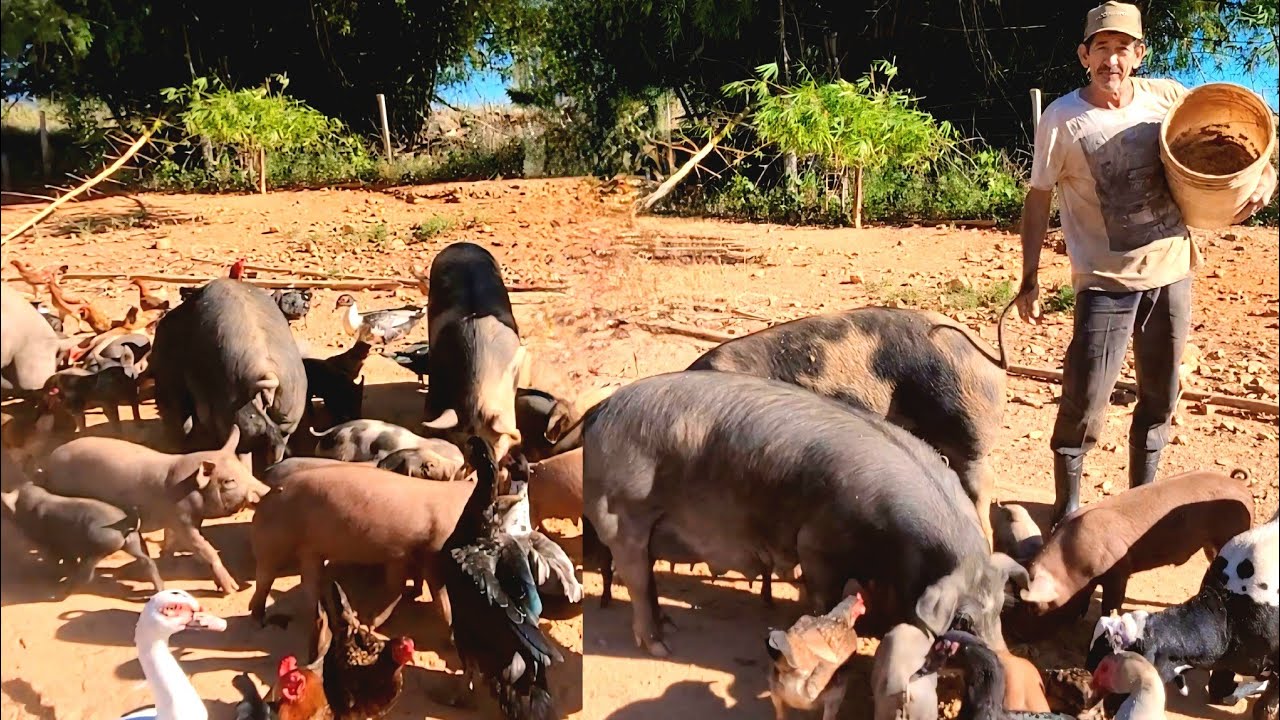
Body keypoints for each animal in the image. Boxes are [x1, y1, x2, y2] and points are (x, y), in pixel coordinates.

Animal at [1, 477, 164, 593]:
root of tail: (124, 522)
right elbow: (69, 562)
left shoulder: (51, 544)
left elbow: (57, 561)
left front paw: (53, 577)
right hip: (133, 542)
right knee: (147, 561)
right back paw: (159, 589)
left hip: (98, 547)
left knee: (87, 573)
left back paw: (67, 589)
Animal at [39, 427, 269, 593]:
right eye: (229, 481)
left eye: (244, 469)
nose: (266, 490)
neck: (189, 486)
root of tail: (50, 460)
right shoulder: (181, 518)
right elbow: (204, 547)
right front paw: (232, 589)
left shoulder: (178, 518)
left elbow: (171, 540)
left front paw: (168, 561)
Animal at [248, 465, 477, 632]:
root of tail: (266, 497)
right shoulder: (432, 552)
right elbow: (440, 598)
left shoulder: (402, 554)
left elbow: (400, 587)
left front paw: (372, 622)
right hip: (273, 544)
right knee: (265, 578)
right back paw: (260, 621)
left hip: (310, 551)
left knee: (309, 584)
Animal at [583, 370, 1024, 657]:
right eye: (963, 621)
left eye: (1001, 611)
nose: (1003, 658)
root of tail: (601, 410)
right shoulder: (817, 544)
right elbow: (823, 594)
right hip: (622, 514)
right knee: (637, 580)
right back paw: (660, 646)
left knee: (648, 577)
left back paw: (669, 625)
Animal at [1017, 469, 1254, 627]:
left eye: (1034, 606)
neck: (1071, 562)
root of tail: (1239, 484)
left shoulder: (1119, 569)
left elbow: (1112, 602)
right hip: (1211, 544)